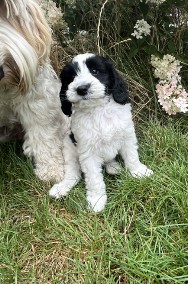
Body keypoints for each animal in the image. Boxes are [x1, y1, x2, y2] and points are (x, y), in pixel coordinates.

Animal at [48, 53, 153, 212]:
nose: (82, 88)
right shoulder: (88, 153)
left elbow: (132, 157)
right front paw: (97, 200)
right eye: (72, 77)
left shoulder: (127, 136)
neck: (98, 110)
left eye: (95, 71)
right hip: (68, 147)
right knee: (74, 174)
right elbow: (94, 179)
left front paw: (139, 172)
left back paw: (113, 167)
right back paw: (62, 187)